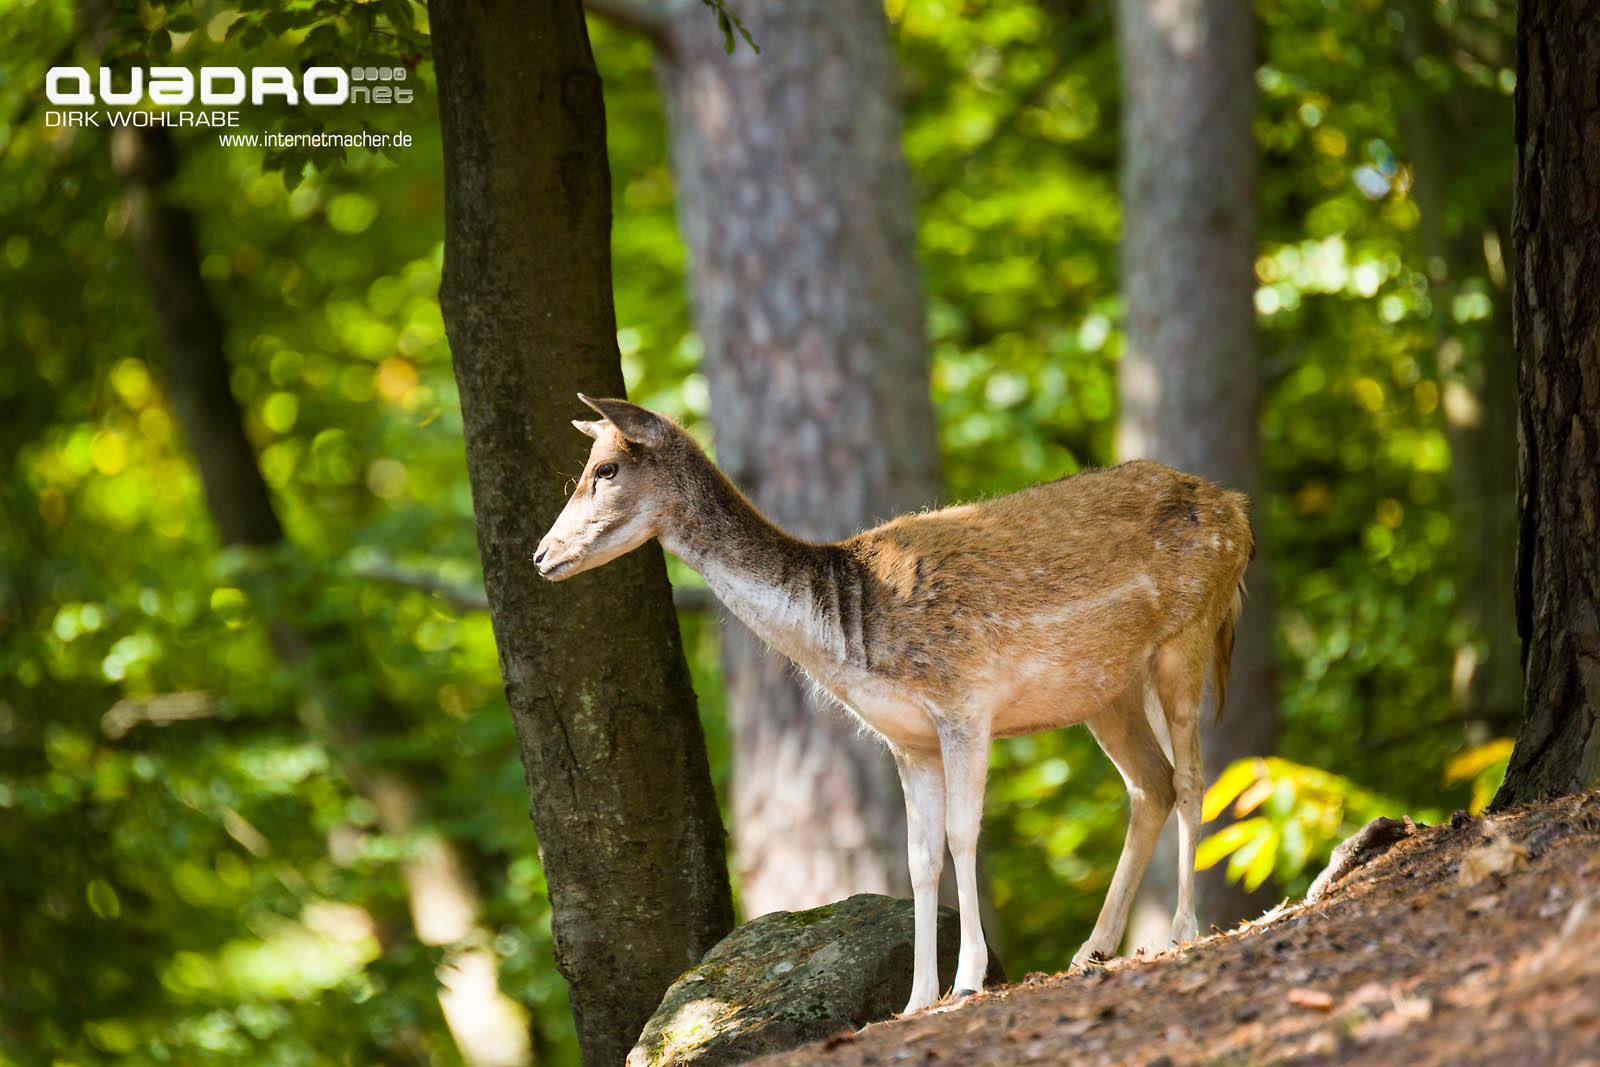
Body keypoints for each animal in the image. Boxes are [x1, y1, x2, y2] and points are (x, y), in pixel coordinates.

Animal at [534, 394, 1253, 1014]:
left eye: (606, 469)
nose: (542, 554)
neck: (850, 631)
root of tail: (1240, 511)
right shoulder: (906, 739)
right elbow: (918, 856)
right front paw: (916, 998)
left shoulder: (964, 700)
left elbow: (963, 834)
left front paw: (969, 980)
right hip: (1106, 689)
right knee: (1150, 784)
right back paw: (1091, 949)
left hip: (1187, 637)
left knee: (1190, 778)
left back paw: (1181, 927)